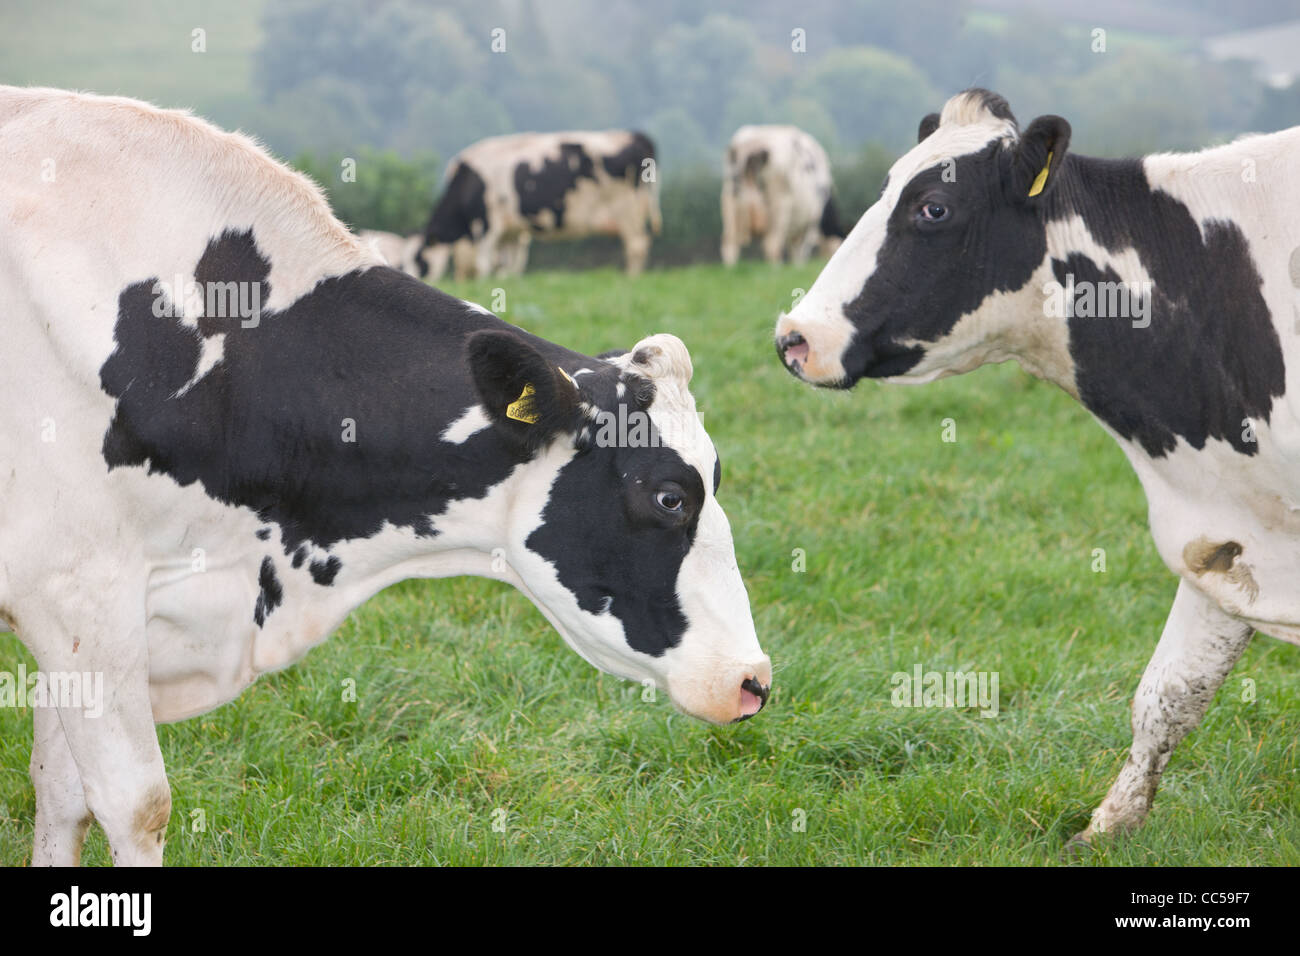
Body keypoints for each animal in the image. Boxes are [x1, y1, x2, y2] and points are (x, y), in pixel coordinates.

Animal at [416, 130, 660, 280]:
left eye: (418, 259)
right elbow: (509, 265)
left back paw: (631, 278)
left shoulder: (489, 224)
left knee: (636, 246)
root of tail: (634, 135)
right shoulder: (512, 231)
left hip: (627, 211)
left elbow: (484, 263)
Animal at [717, 124, 847, 265]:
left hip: (729, 200)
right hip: (779, 205)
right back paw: (776, 268)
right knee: (772, 244)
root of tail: (755, 143)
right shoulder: (811, 221)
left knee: (729, 244)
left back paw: (731, 268)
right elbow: (800, 252)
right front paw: (798, 266)